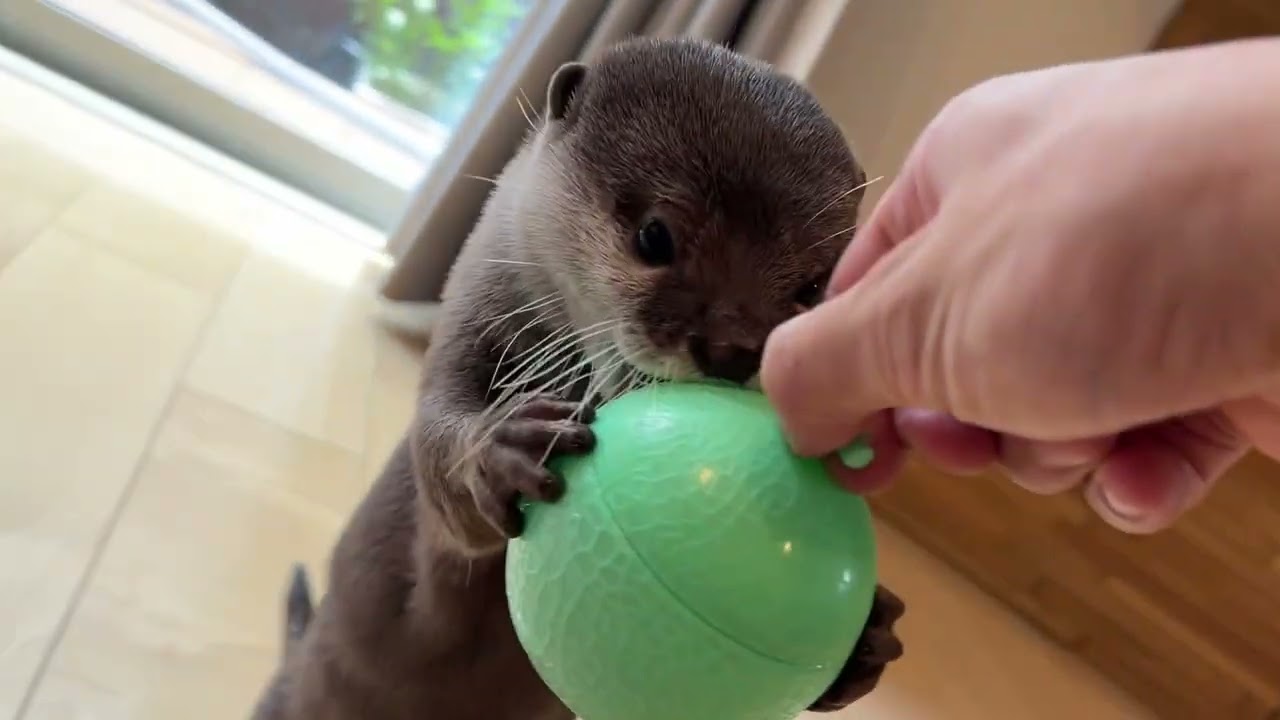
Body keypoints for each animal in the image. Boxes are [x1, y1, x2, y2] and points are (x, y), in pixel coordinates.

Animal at [250, 37, 904, 720]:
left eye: (811, 287)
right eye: (655, 235)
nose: (733, 349)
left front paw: (862, 642)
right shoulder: (463, 335)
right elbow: (441, 473)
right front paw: (504, 449)